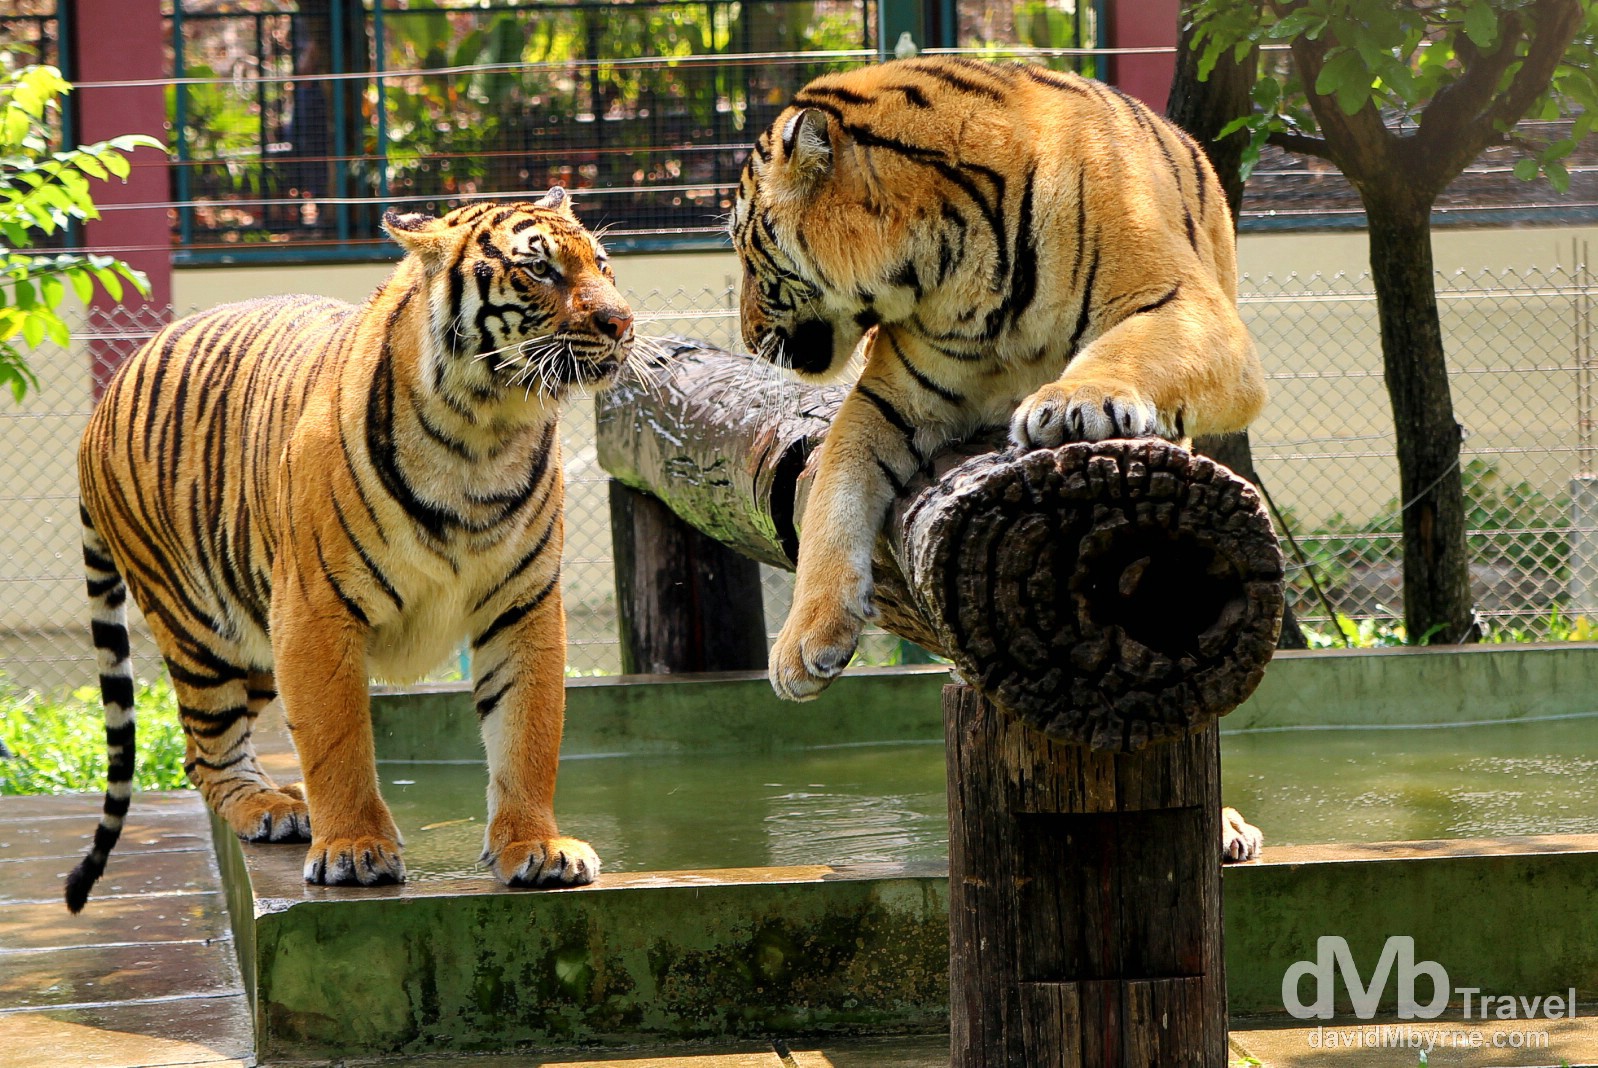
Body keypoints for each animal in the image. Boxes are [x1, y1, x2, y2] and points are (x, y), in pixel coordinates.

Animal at [68, 188, 628, 911]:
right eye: (540, 270)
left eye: (603, 264)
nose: (622, 322)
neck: (484, 433)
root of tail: (109, 392)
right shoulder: (314, 608)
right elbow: (338, 738)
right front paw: (354, 850)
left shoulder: (524, 605)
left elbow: (526, 731)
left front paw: (537, 845)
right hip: (202, 625)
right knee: (206, 746)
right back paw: (270, 809)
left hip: (255, 634)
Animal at [728, 57, 1268, 862]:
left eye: (745, 249)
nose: (743, 334)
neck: (946, 265)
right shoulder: (885, 399)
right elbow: (831, 498)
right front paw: (804, 646)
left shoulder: (1186, 307)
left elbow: (1123, 348)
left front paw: (1072, 400)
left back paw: (1226, 827)